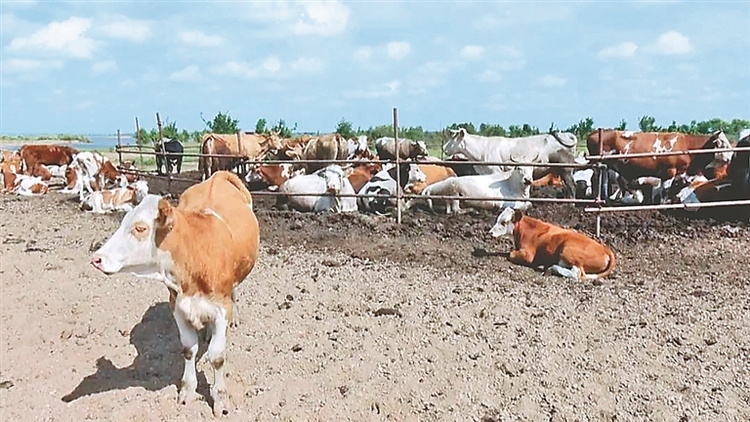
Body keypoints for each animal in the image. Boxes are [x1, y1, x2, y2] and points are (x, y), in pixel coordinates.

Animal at [90, 171, 262, 416]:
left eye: (140, 228)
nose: (97, 258)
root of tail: (217, 176)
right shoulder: (177, 306)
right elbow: (189, 349)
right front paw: (187, 391)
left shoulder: (221, 307)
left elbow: (217, 356)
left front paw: (221, 399)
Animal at [490, 208, 620, 280]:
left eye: (503, 222)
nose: (490, 232)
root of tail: (606, 249)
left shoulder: (528, 255)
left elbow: (511, 254)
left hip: (568, 251)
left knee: (577, 274)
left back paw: (551, 268)